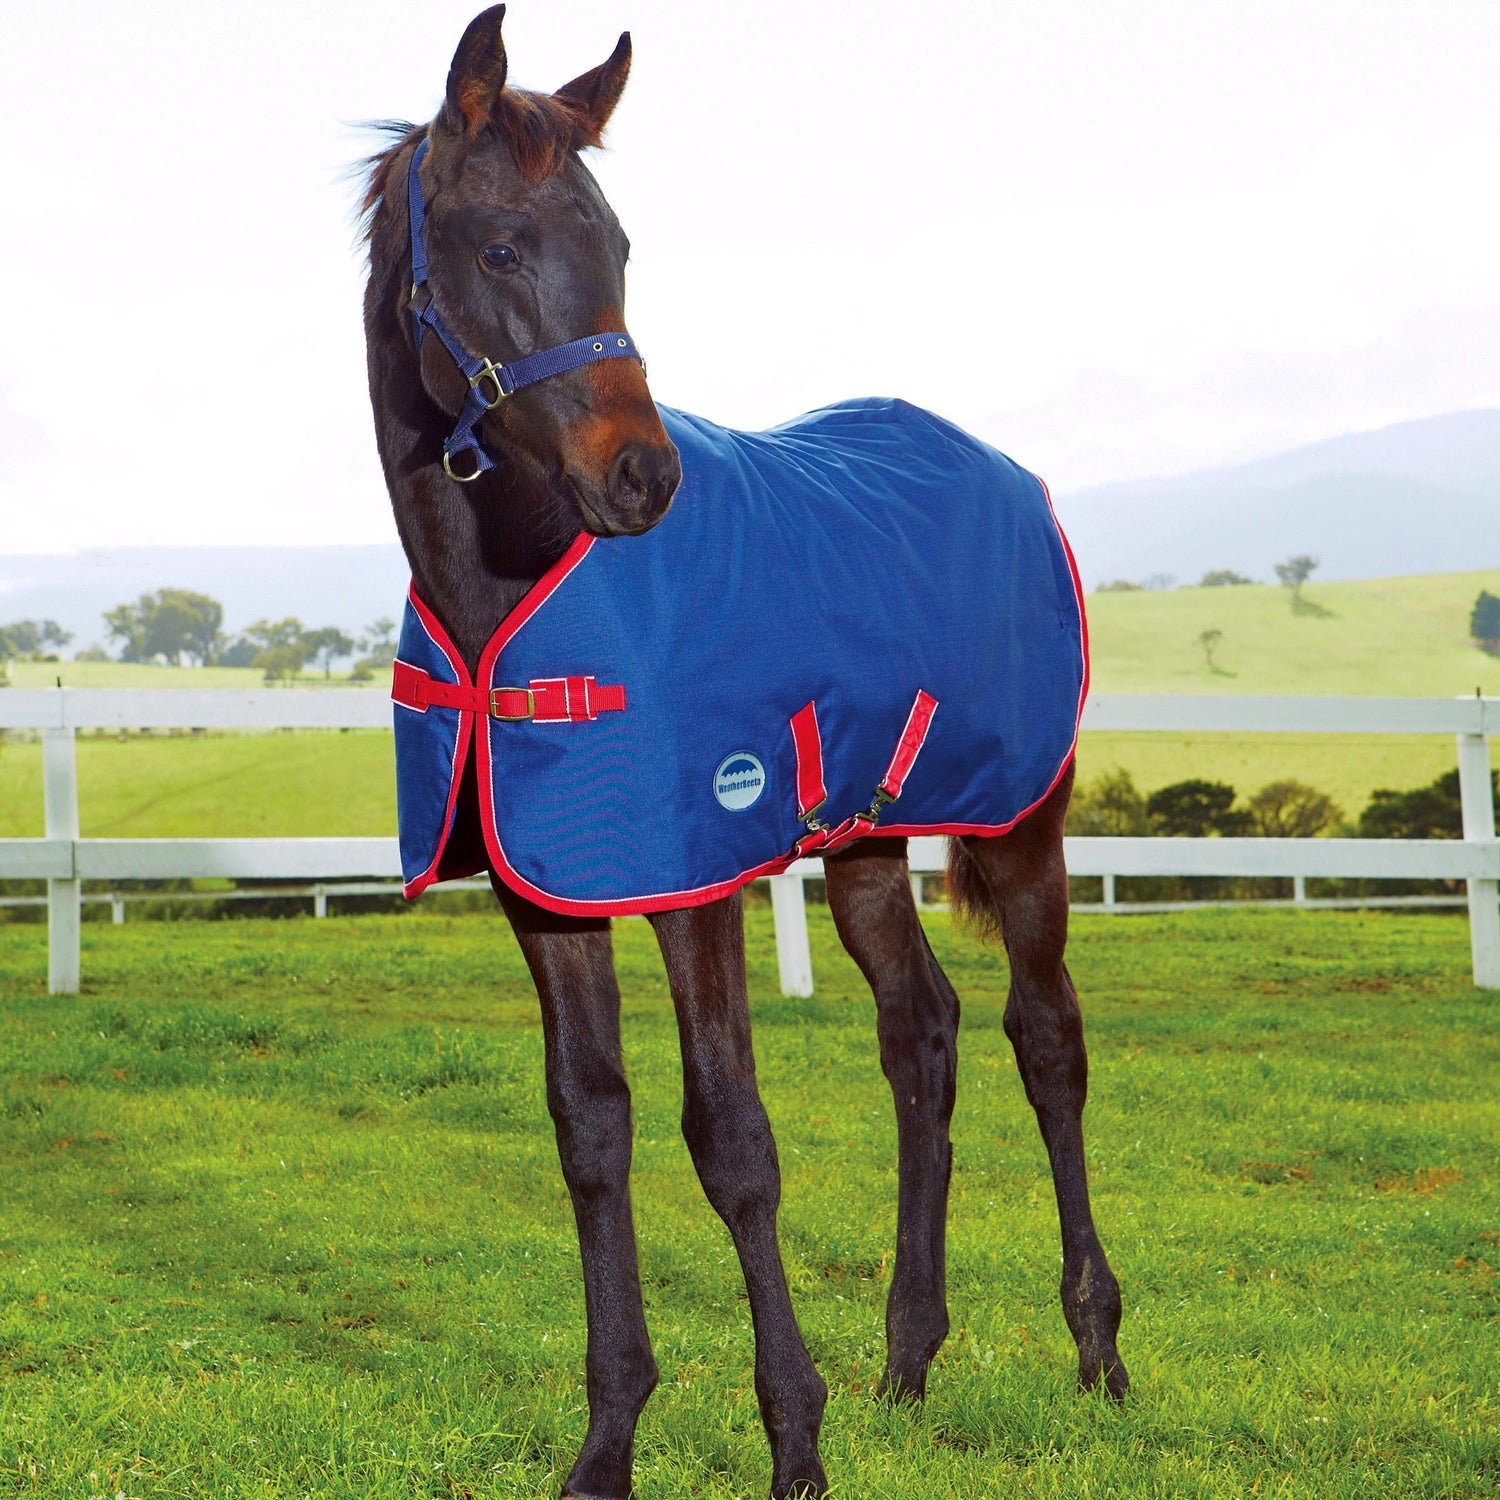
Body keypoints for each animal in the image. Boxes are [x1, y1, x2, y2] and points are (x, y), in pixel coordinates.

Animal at [359, 8, 1126, 1496]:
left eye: (620, 244)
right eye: (500, 248)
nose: (643, 479)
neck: (511, 593)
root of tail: (1009, 473)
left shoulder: (694, 882)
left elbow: (732, 1140)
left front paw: (795, 1443)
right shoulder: (552, 895)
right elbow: (591, 1130)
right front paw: (607, 1446)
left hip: (1023, 823)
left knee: (1045, 1037)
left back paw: (1099, 1352)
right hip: (870, 839)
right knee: (921, 1033)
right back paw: (907, 1361)